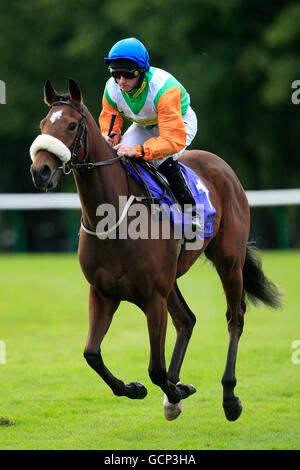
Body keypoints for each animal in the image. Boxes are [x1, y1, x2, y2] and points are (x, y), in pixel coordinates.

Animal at [29, 79, 280, 420]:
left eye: (70, 125)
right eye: (43, 124)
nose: (40, 171)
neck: (113, 217)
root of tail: (221, 165)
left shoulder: (153, 298)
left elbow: (155, 369)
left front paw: (175, 391)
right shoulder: (103, 293)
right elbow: (92, 354)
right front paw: (140, 389)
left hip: (228, 261)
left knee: (234, 317)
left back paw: (229, 397)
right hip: (171, 277)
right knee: (186, 320)